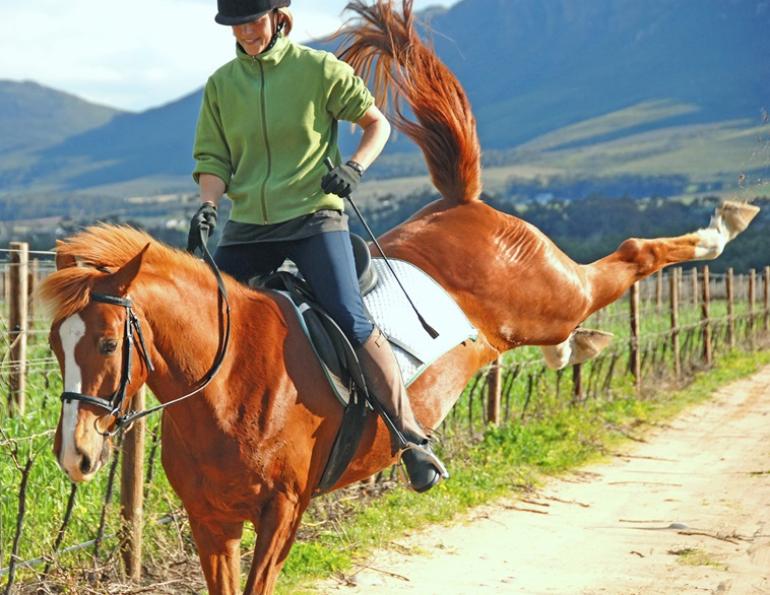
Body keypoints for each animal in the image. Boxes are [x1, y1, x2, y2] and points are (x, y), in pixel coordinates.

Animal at [40, 1, 759, 593]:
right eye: (54, 346)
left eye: (107, 341)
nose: (75, 455)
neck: (231, 377)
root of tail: (461, 203)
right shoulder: (210, 521)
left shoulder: (282, 511)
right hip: (536, 315)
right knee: (568, 327)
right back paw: (578, 348)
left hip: (551, 291)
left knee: (628, 257)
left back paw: (723, 225)